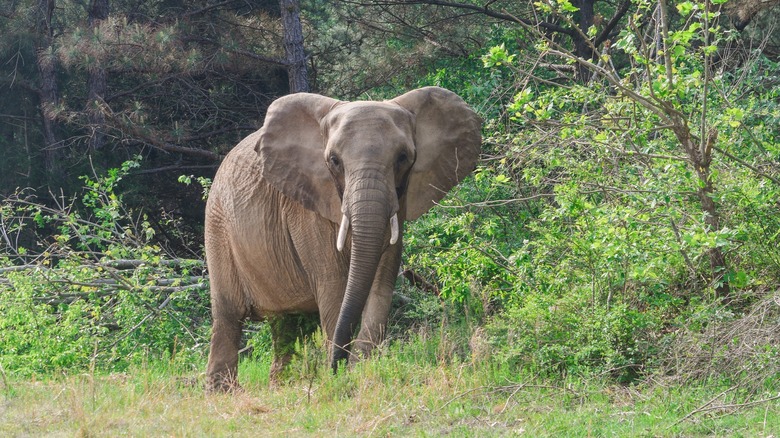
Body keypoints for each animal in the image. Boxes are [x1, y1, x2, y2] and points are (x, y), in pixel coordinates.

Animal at [204, 85, 478, 390]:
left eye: (403, 158)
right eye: (334, 161)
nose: (335, 366)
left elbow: (381, 284)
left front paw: (360, 370)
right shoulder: (308, 204)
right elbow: (334, 285)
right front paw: (341, 375)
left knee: (284, 323)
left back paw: (281, 385)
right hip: (217, 225)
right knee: (228, 315)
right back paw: (222, 392)